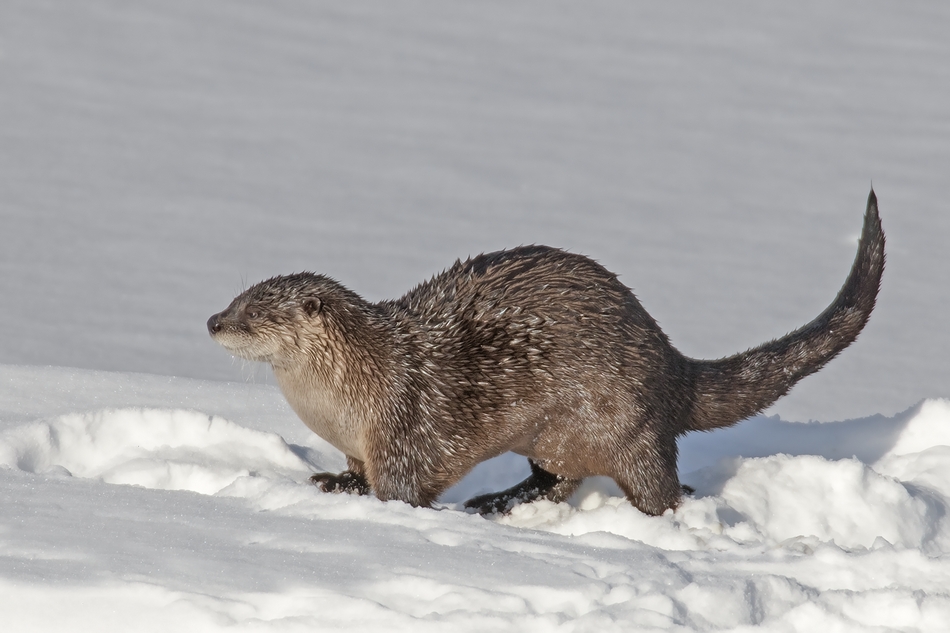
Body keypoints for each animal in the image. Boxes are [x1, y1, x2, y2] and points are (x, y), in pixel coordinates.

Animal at [206, 190, 884, 516]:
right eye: (235, 297)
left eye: (254, 312)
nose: (213, 320)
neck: (351, 393)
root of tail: (671, 366)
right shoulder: (355, 441)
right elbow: (350, 469)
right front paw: (331, 481)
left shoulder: (404, 425)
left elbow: (402, 486)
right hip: (554, 436)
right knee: (559, 478)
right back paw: (500, 500)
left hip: (626, 420)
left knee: (655, 486)